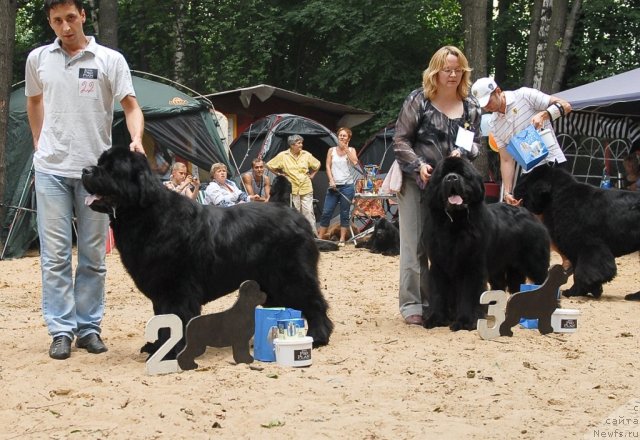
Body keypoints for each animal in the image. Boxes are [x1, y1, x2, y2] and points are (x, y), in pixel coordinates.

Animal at [81, 148, 336, 354]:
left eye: (112, 168)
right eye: (100, 162)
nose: (85, 170)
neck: (147, 215)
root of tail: (287, 209)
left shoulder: (177, 289)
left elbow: (175, 319)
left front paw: (170, 352)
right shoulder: (162, 290)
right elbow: (161, 319)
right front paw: (156, 347)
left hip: (293, 276)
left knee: (314, 303)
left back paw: (318, 337)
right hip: (272, 283)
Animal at [420, 157, 552, 330]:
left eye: (463, 174)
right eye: (443, 175)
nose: (452, 178)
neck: (455, 224)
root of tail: (531, 216)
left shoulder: (472, 267)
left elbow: (469, 295)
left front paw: (465, 321)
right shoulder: (438, 265)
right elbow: (438, 293)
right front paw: (435, 318)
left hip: (534, 263)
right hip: (502, 268)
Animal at [524, 163, 640, 300]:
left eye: (529, 184)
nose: (517, 194)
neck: (559, 196)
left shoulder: (586, 246)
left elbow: (584, 272)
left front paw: (577, 291)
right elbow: (579, 271)